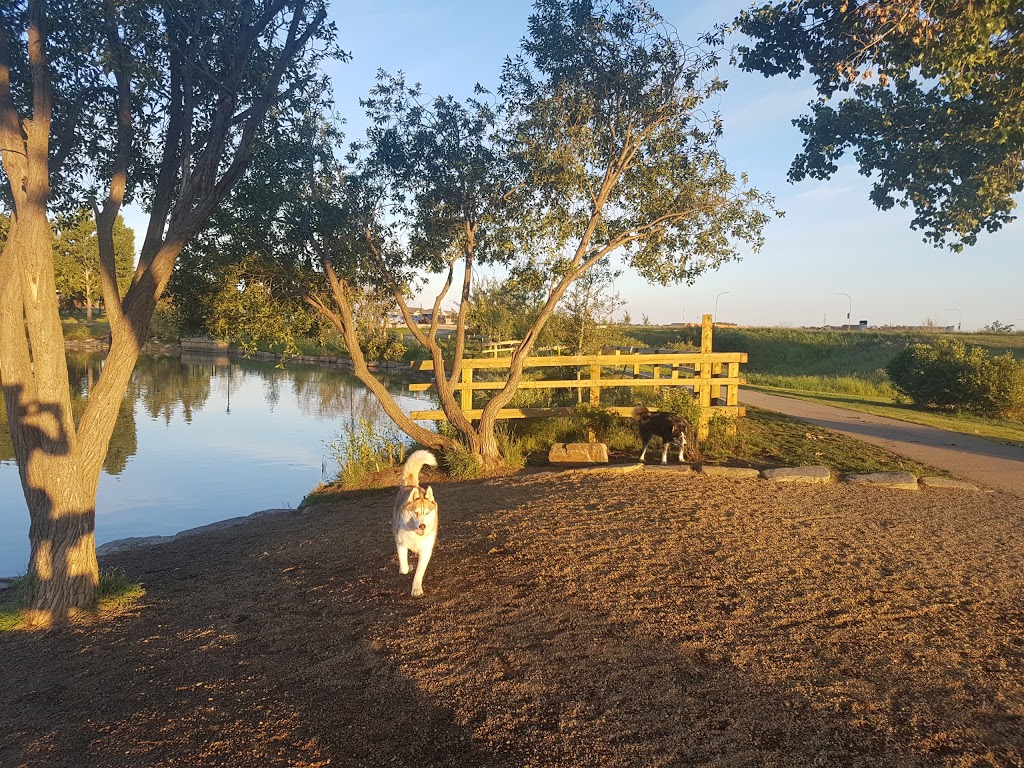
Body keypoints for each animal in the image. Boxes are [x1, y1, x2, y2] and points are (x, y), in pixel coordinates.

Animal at [391, 450, 440, 602]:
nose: (422, 526)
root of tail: (411, 486)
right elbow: (404, 567)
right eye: (416, 512)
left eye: (427, 513)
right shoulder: (400, 544)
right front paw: (408, 567)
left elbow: (419, 572)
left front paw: (416, 588)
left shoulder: (426, 550)